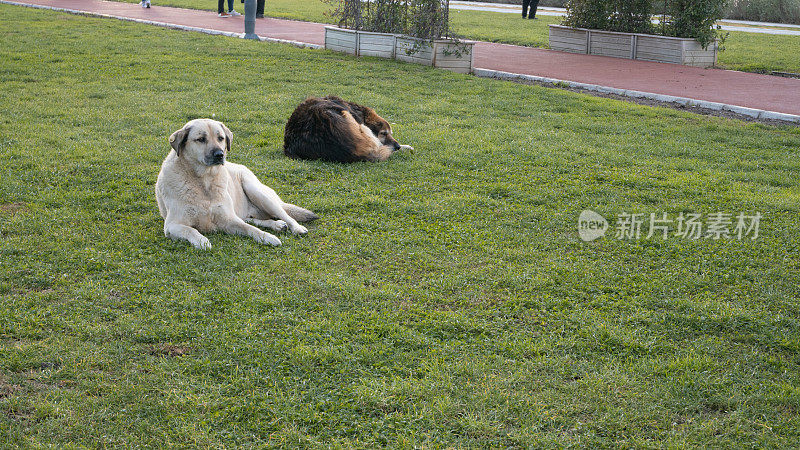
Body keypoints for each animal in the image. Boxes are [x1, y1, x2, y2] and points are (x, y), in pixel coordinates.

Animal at [155, 118, 318, 250]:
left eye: (221, 138)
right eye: (201, 139)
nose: (219, 155)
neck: (204, 181)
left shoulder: (228, 220)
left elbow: (250, 229)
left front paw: (267, 237)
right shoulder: (172, 225)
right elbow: (190, 230)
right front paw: (202, 241)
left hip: (256, 191)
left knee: (283, 215)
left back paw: (295, 227)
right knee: (251, 219)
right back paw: (276, 225)